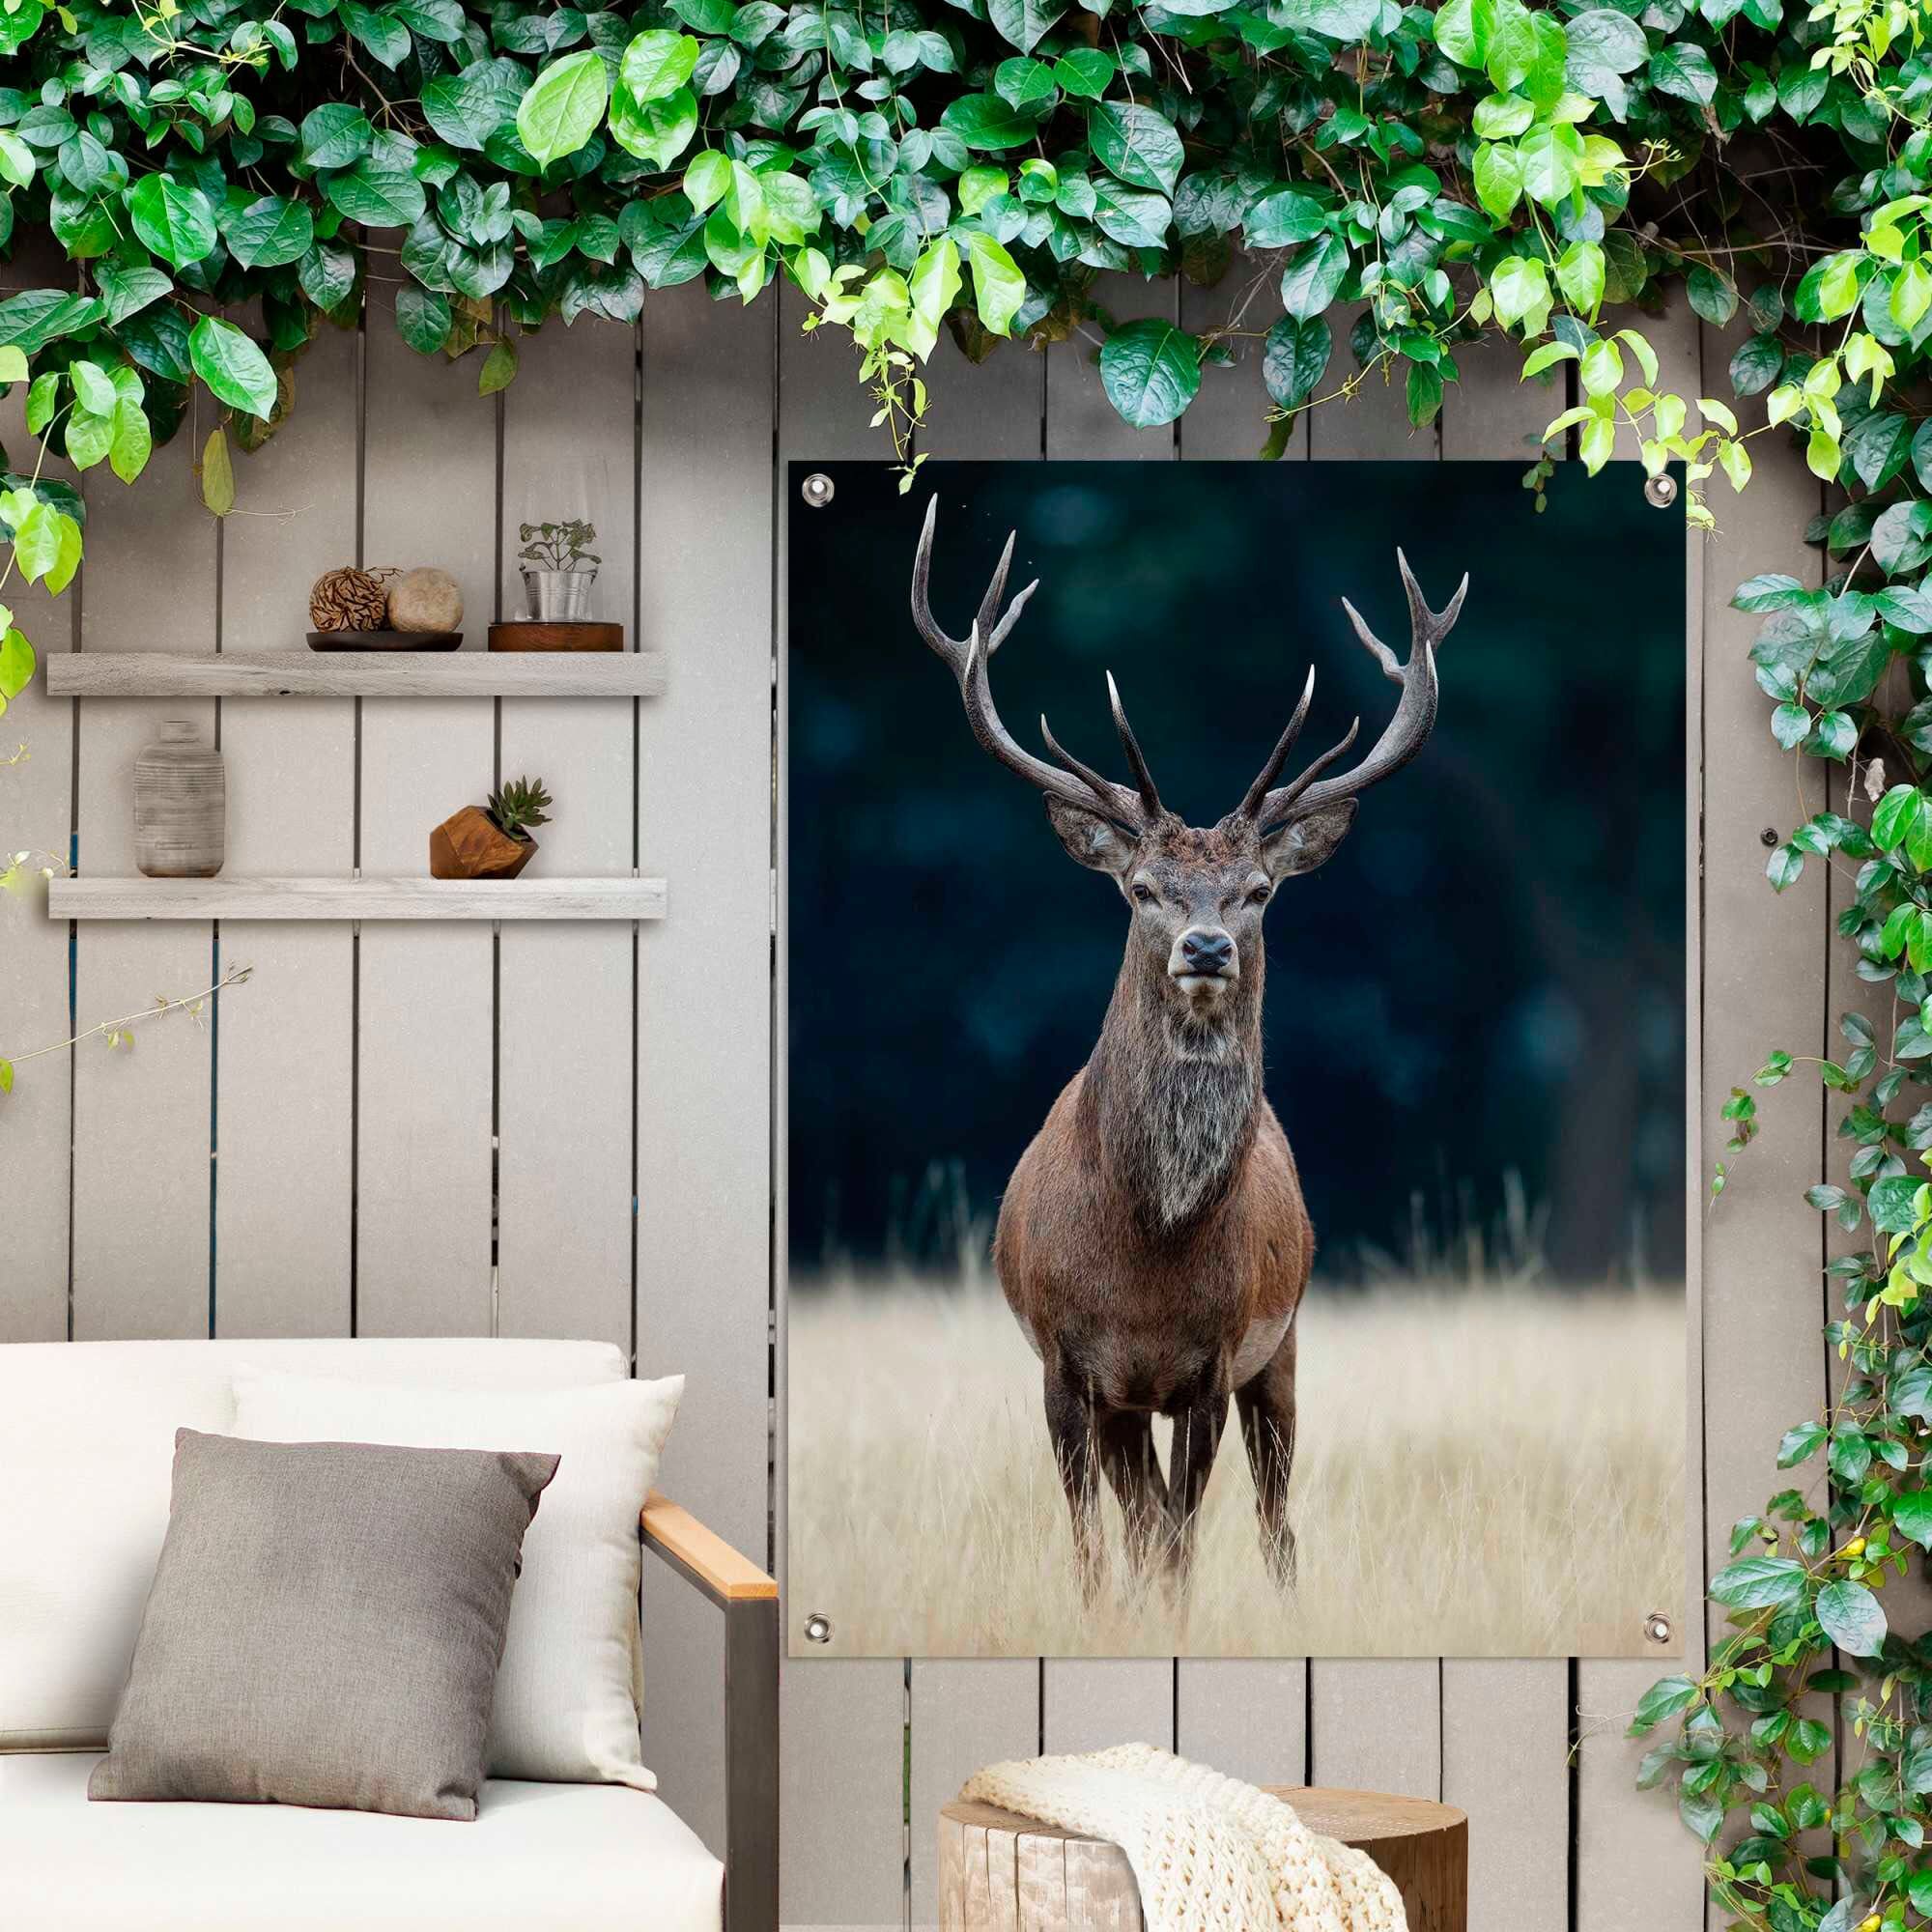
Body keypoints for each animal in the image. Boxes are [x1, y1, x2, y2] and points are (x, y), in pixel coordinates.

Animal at [910, 499, 1466, 1600]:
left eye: (1258, 890)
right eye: (1141, 888)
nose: (1204, 945)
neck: (1147, 1255)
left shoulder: (1212, 1363)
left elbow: (1179, 1541)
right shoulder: (1067, 1367)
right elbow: (1097, 1543)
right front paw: (1099, 1615)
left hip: (1282, 1347)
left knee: (1272, 1518)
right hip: (1137, 1399)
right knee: (1138, 1517)